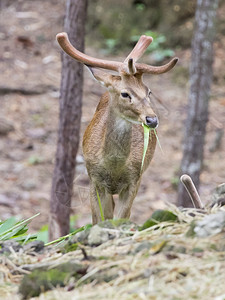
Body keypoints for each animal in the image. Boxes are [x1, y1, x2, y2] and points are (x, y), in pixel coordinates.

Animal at [55, 33, 178, 225]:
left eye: (148, 92)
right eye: (125, 93)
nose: (151, 119)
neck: (114, 167)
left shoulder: (135, 180)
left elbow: (121, 218)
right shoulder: (94, 180)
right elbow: (100, 219)